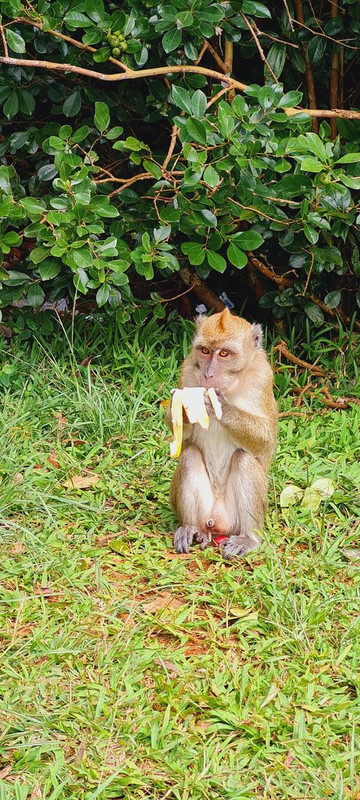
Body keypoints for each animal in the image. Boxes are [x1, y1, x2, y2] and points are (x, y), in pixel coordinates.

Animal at [166, 304, 278, 556]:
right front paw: (185, 408)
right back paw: (189, 527)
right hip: (205, 512)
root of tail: (215, 521)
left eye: (224, 354)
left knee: (244, 459)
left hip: (236, 517)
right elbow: (183, 438)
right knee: (189, 455)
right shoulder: (188, 369)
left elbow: (265, 438)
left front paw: (221, 407)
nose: (208, 374)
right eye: (205, 350)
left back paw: (248, 539)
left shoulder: (262, 376)